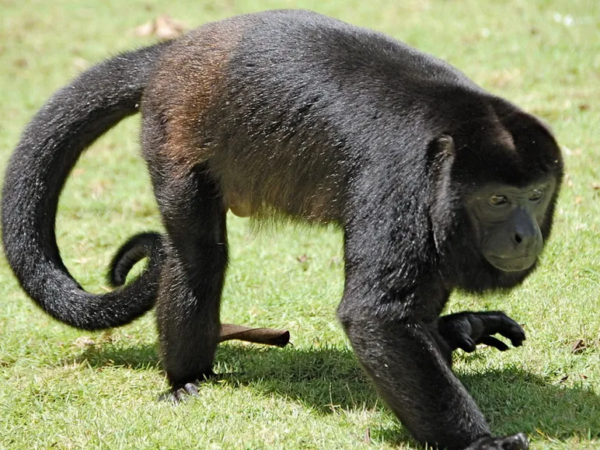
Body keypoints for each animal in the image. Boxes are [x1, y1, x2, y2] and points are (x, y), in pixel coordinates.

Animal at [1, 10, 564, 450]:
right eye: (497, 200)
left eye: (536, 194)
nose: (525, 235)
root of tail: (175, 52)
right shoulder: (396, 180)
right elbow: (375, 317)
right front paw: (478, 441)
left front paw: (452, 333)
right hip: (170, 131)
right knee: (198, 255)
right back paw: (186, 376)